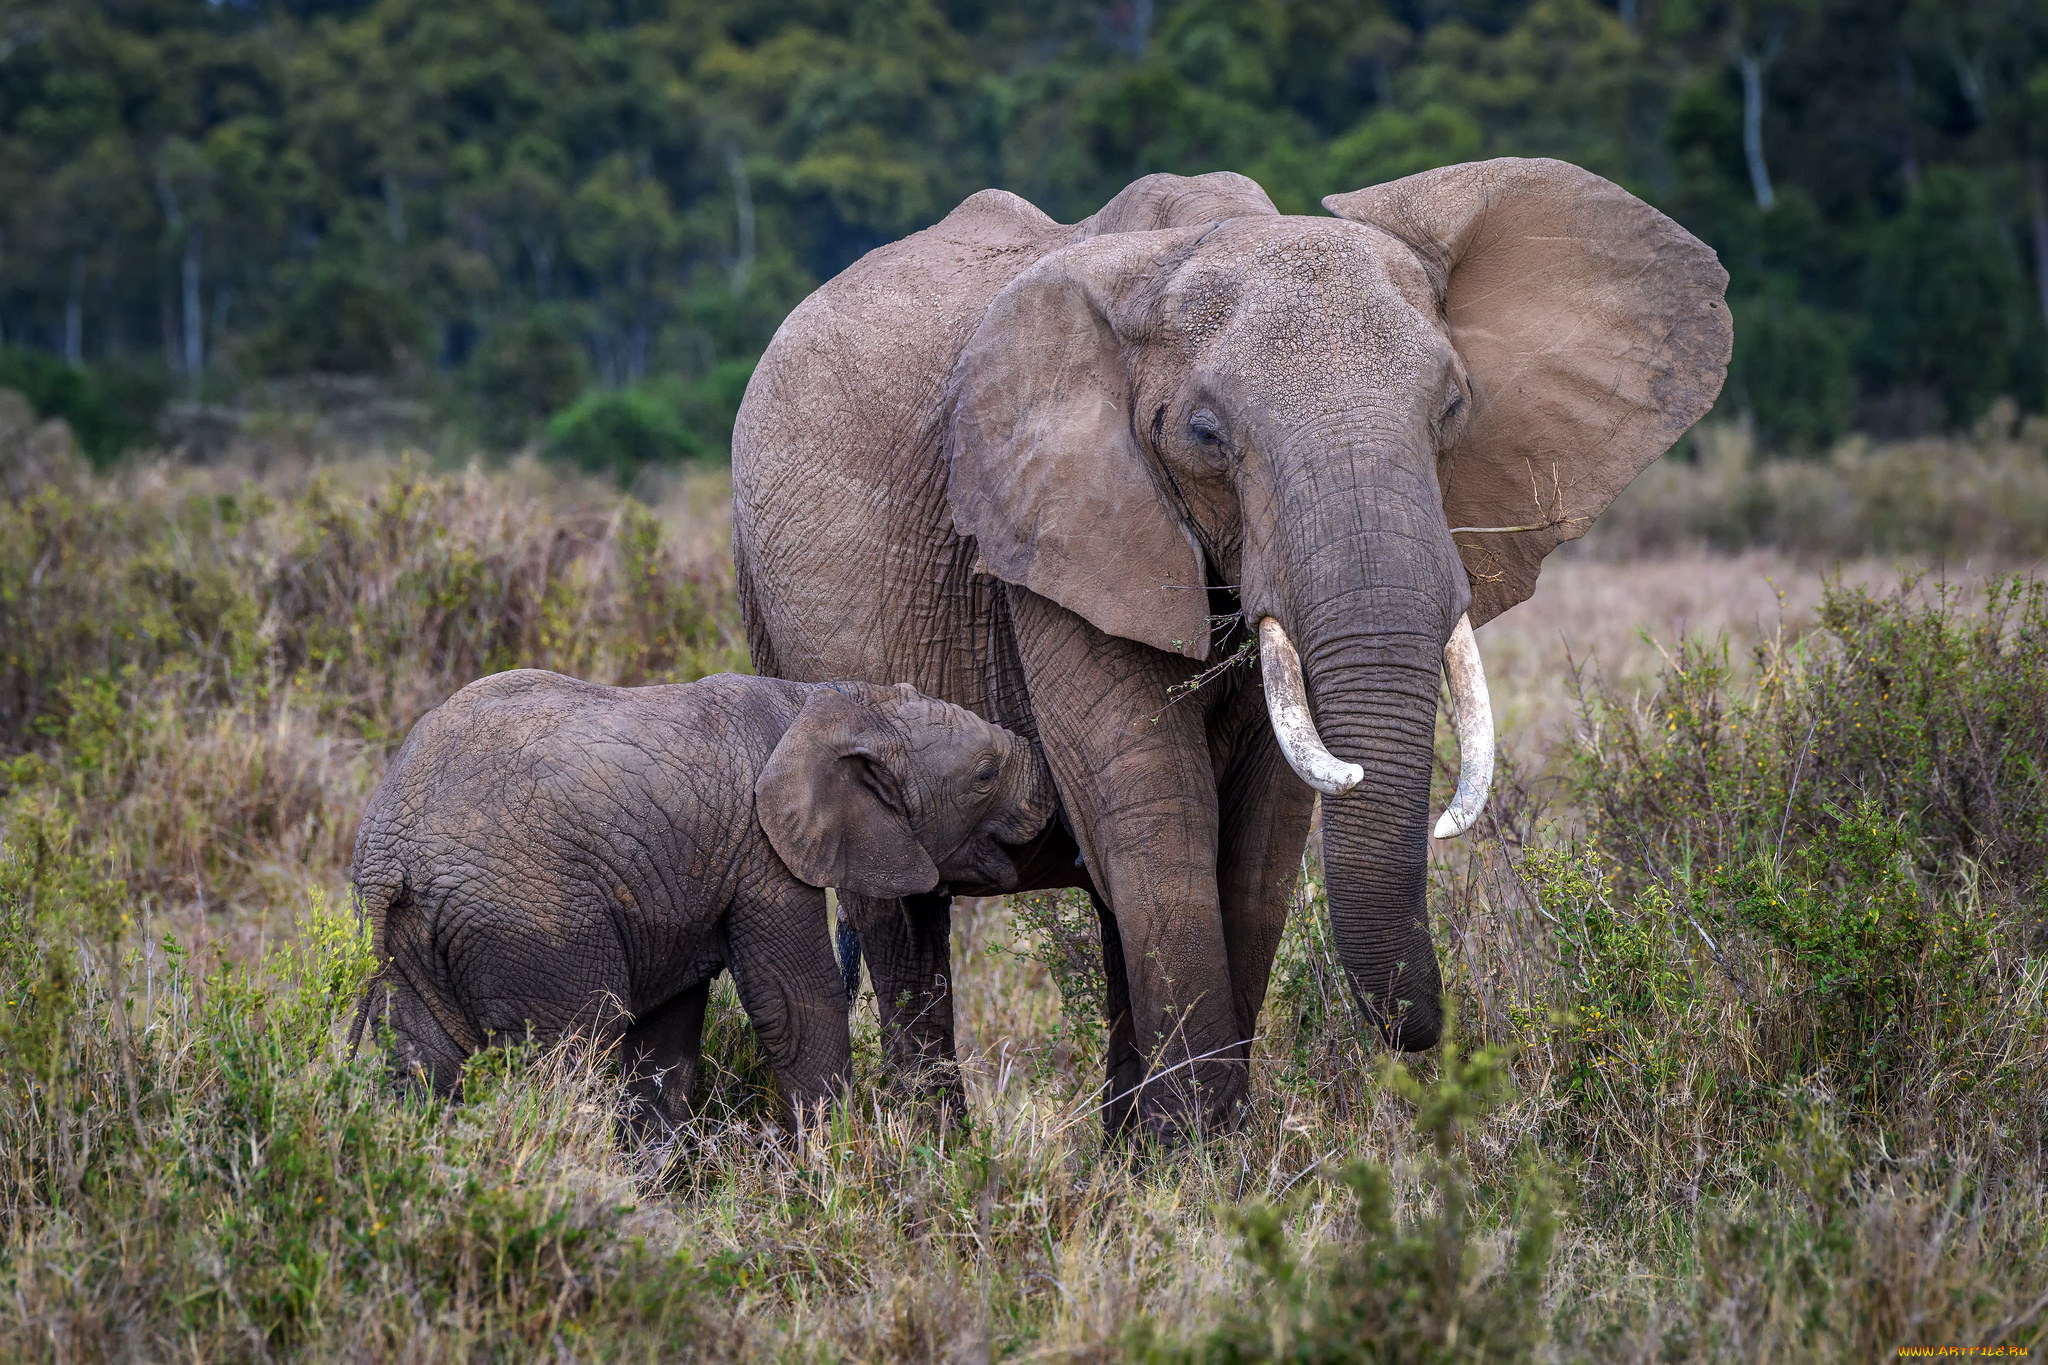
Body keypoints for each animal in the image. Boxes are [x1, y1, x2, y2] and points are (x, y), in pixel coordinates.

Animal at [352, 671, 1056, 1129]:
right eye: (985, 775)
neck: (830, 699)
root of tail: (391, 858)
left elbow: (667, 1038)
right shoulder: (763, 850)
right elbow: (794, 1003)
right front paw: (839, 1173)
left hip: (412, 942)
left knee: (421, 1066)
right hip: (533, 921)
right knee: (573, 1048)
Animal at [737, 157, 1728, 1146]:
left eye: (1452, 407)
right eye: (1206, 434)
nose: (1437, 1041)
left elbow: (1261, 839)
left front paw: (1203, 1160)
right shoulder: (1056, 534)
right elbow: (1153, 809)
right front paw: (1199, 1161)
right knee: (903, 919)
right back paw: (938, 1156)